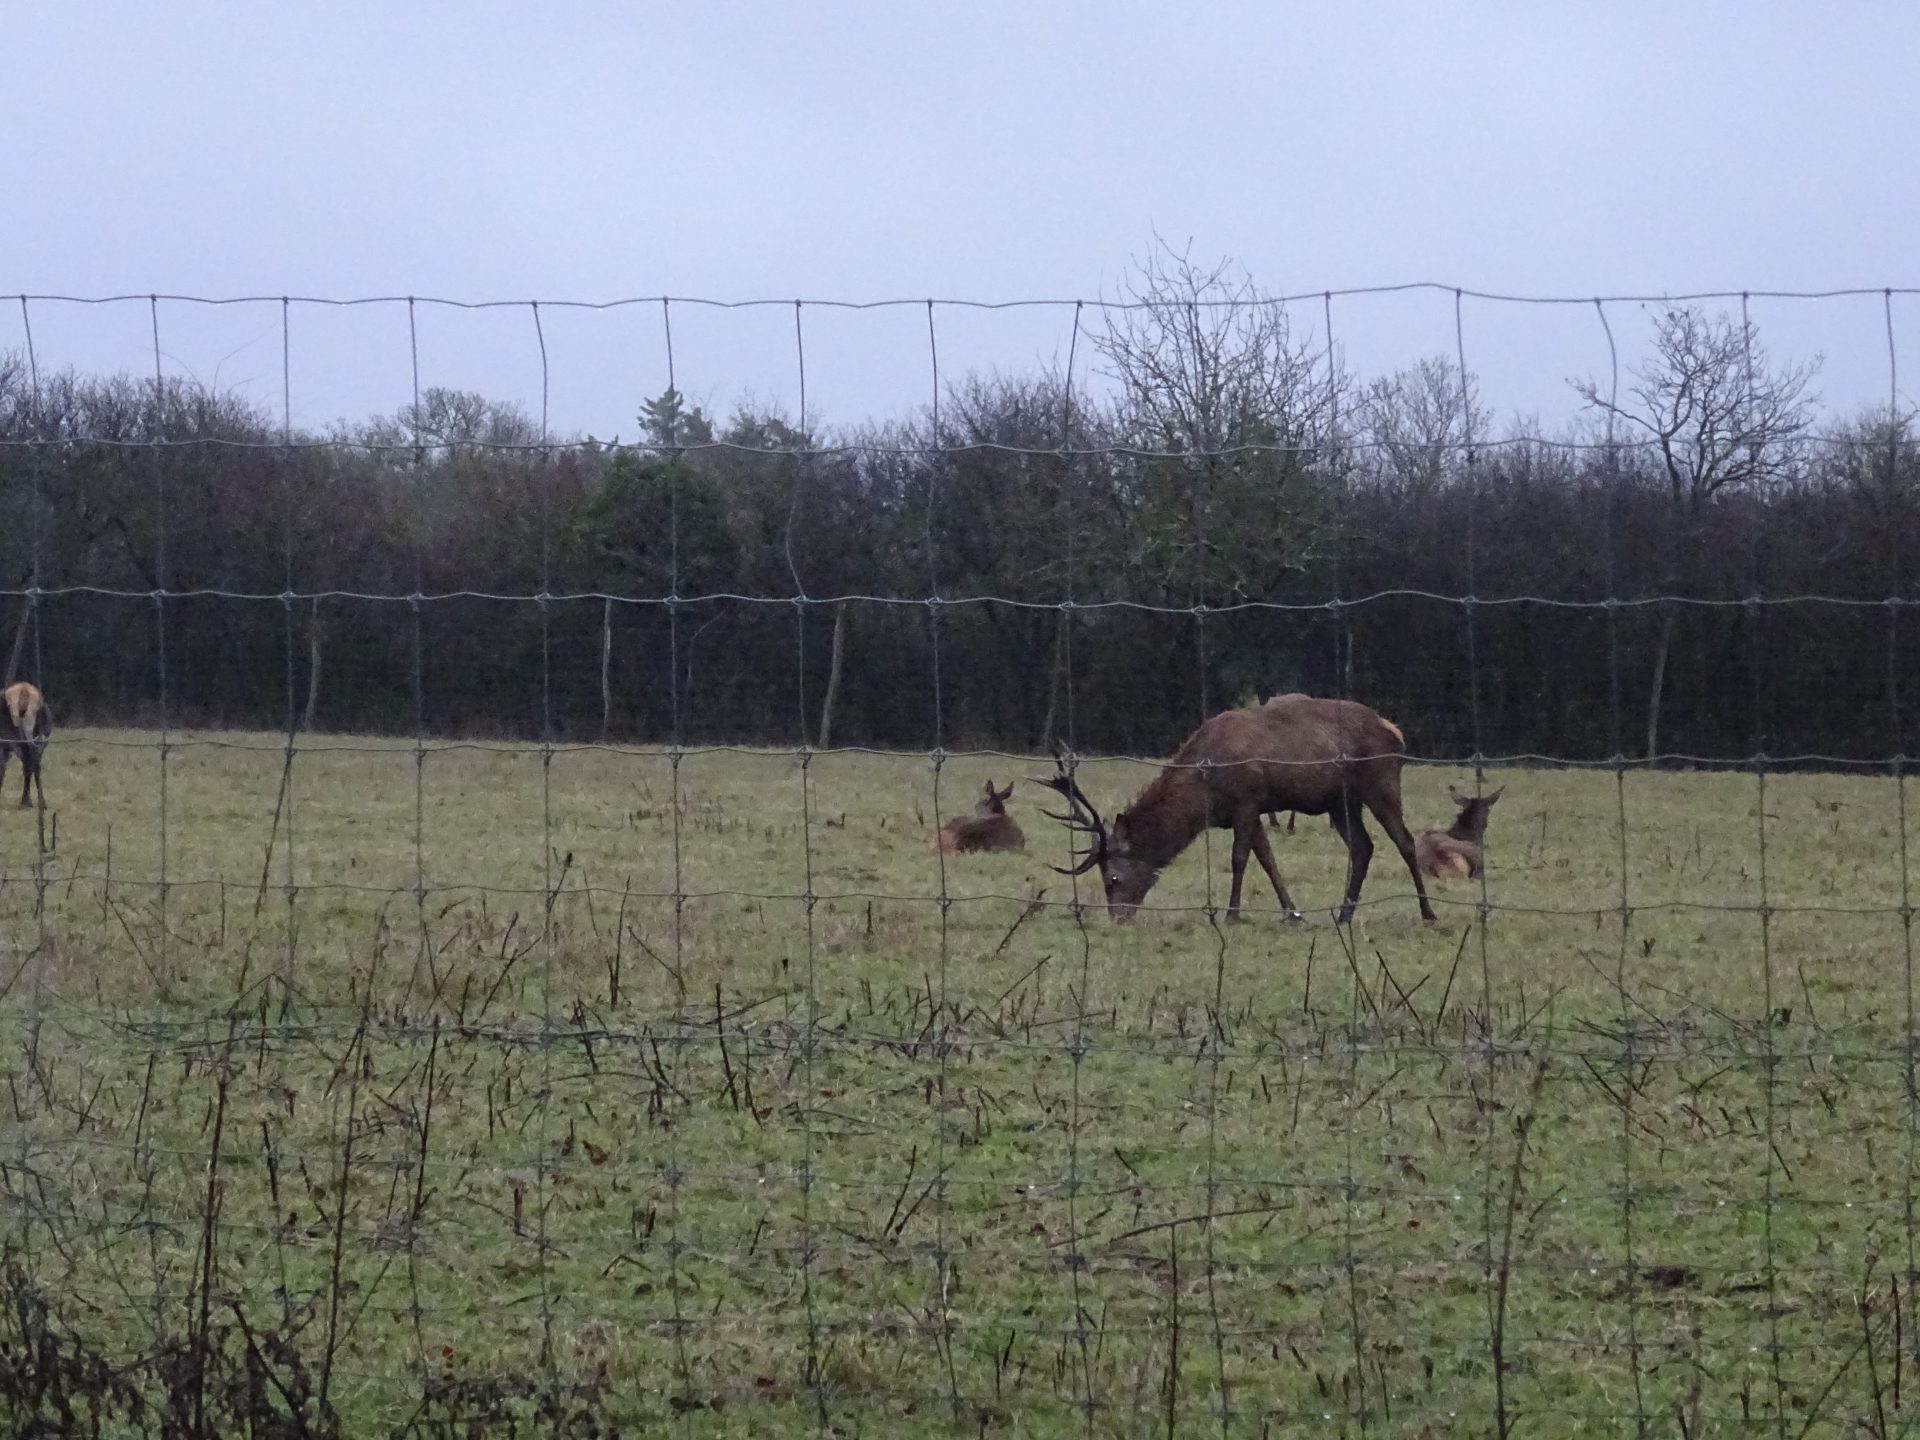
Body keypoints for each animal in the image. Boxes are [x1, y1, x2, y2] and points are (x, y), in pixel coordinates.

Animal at [1036, 696, 1437, 926]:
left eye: (1113, 878)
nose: (1117, 918)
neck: (1205, 792)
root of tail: (1395, 731)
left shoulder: (1246, 800)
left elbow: (1240, 858)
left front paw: (1232, 914)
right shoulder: (1248, 811)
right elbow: (1267, 858)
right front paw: (1293, 913)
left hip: (1381, 780)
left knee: (1405, 841)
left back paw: (1428, 913)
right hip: (1341, 802)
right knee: (1363, 847)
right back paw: (1343, 914)